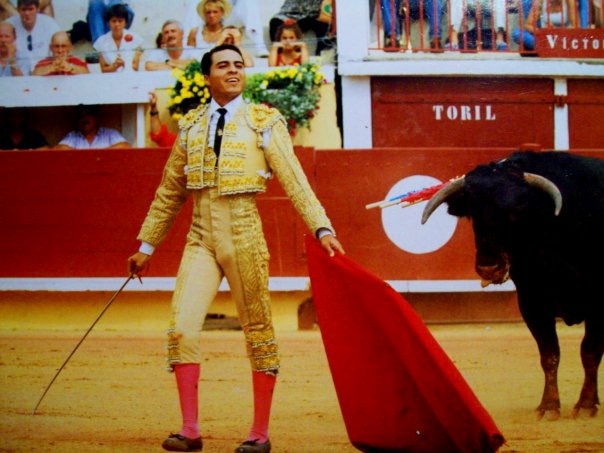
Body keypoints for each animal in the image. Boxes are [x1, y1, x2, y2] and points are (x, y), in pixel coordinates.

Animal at [422, 150, 600, 418]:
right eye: (473, 213)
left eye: (517, 210)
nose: (489, 267)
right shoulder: (531, 303)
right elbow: (550, 355)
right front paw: (549, 407)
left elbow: (589, 352)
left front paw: (586, 405)